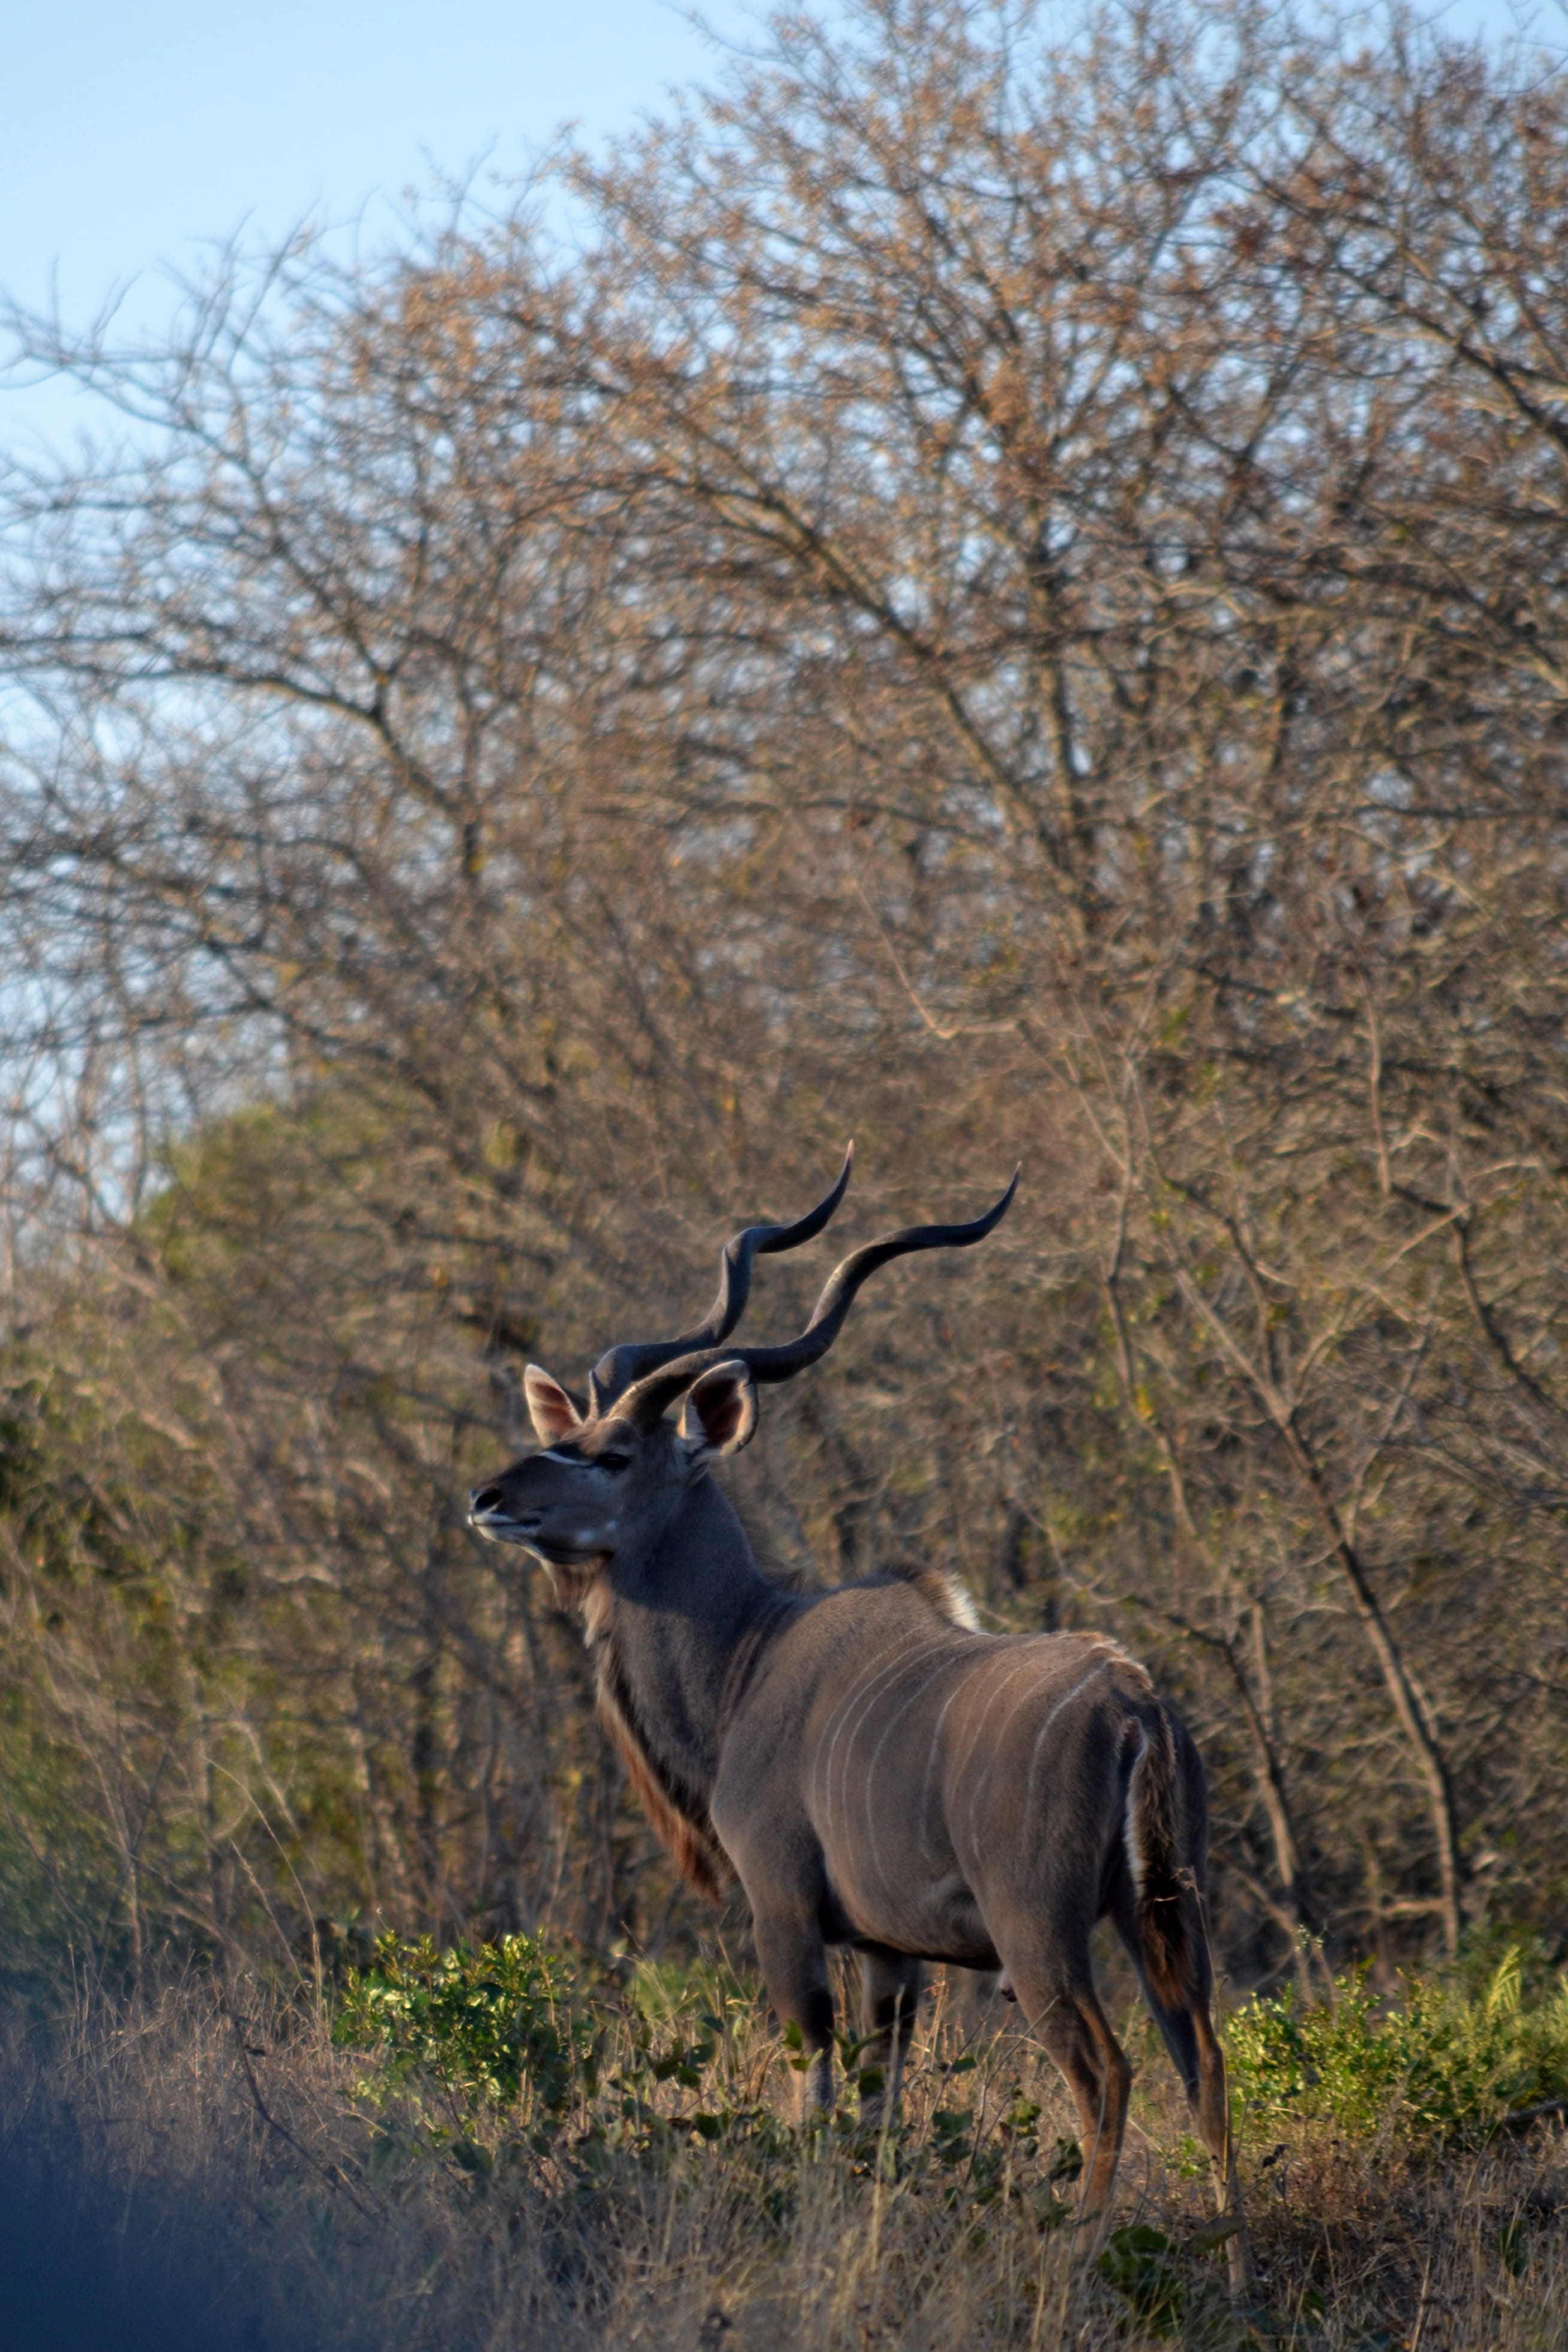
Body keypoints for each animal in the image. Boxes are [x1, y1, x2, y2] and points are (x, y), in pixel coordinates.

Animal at [467, 1154, 1251, 2291]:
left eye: (609, 1454)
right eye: (560, 1435)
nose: (489, 1496)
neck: (747, 1656)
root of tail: (1132, 1699)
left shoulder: (786, 1914)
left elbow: (819, 2086)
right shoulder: (892, 1952)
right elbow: (881, 2102)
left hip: (1040, 1930)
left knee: (1105, 2068)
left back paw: (1077, 2258)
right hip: (1164, 1914)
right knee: (1204, 2057)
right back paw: (1235, 2268)